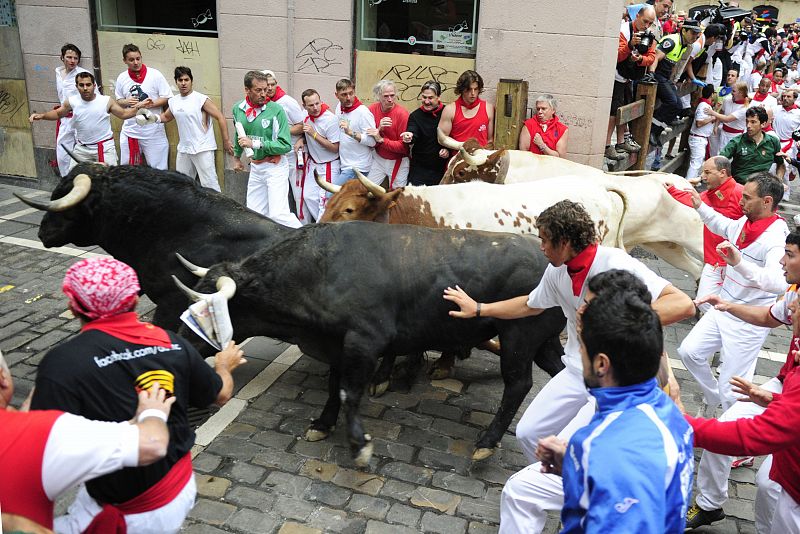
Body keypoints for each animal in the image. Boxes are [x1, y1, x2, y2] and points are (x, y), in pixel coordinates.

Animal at [20, 165, 568, 462]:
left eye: (206, 313)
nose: (44, 230)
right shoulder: (335, 346)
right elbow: (334, 388)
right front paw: (322, 423)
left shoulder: (363, 343)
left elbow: (350, 392)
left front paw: (358, 444)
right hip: (542, 342)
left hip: (518, 340)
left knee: (518, 385)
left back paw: (486, 440)